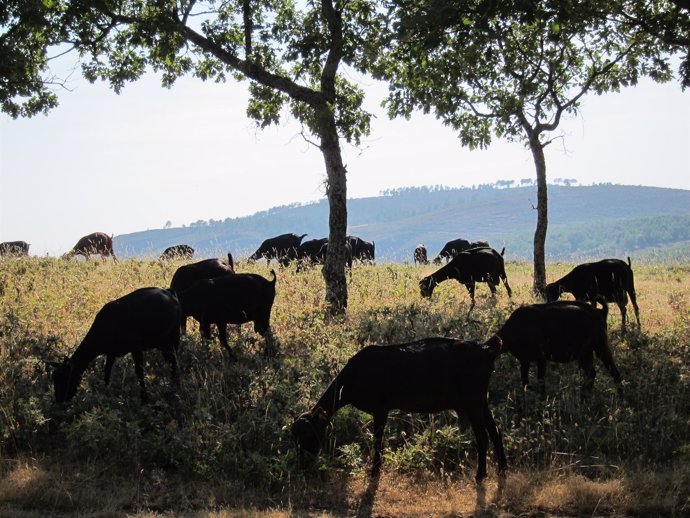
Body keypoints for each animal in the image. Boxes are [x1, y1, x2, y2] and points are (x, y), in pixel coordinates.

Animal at [48, 288, 180, 406]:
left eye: (63, 379)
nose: (59, 401)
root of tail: (169, 293)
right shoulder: (111, 353)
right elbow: (107, 373)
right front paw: (105, 395)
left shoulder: (136, 348)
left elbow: (139, 372)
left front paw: (144, 399)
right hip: (162, 342)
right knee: (170, 361)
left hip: (173, 336)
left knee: (174, 361)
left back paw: (175, 387)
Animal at [290, 338, 506, 484]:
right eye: (295, 438)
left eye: (309, 435)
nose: (302, 465)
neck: (352, 378)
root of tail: (486, 350)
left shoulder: (381, 408)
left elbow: (377, 439)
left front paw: (375, 470)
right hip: (481, 400)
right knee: (495, 430)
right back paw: (502, 469)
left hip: (473, 400)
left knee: (483, 436)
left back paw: (481, 475)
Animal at [492, 300, 620, 398]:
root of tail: (601, 312)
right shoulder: (524, 360)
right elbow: (525, 382)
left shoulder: (541, 358)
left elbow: (540, 382)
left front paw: (542, 399)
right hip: (586, 353)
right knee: (592, 374)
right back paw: (584, 398)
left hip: (600, 346)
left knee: (613, 372)